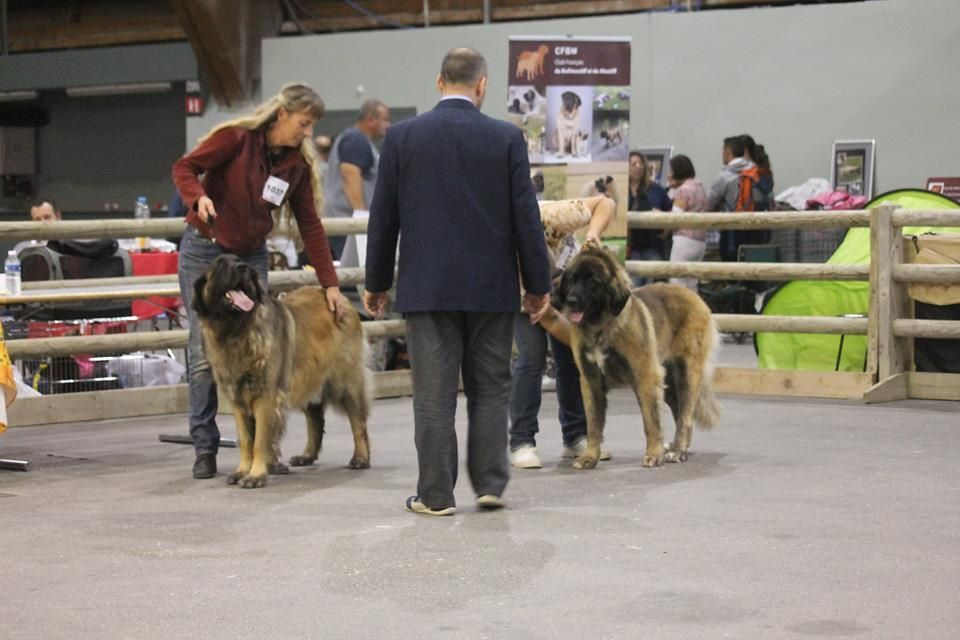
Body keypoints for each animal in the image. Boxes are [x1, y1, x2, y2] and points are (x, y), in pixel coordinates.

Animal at [192, 252, 372, 488]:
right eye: (221, 265)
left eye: (240, 261)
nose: (243, 267)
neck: (237, 330)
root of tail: (341, 299)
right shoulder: (237, 400)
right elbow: (245, 440)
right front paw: (242, 471)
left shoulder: (265, 397)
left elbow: (259, 440)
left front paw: (256, 475)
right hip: (310, 380)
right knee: (316, 420)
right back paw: (307, 455)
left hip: (345, 381)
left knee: (358, 421)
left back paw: (361, 458)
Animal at [544, 245, 716, 470]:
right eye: (572, 279)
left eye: (592, 281)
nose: (572, 301)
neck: (600, 327)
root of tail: (695, 296)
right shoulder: (591, 381)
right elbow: (593, 424)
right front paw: (590, 457)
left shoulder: (645, 377)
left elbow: (651, 421)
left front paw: (654, 454)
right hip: (669, 382)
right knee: (679, 412)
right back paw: (676, 447)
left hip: (686, 374)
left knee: (685, 416)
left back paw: (677, 451)